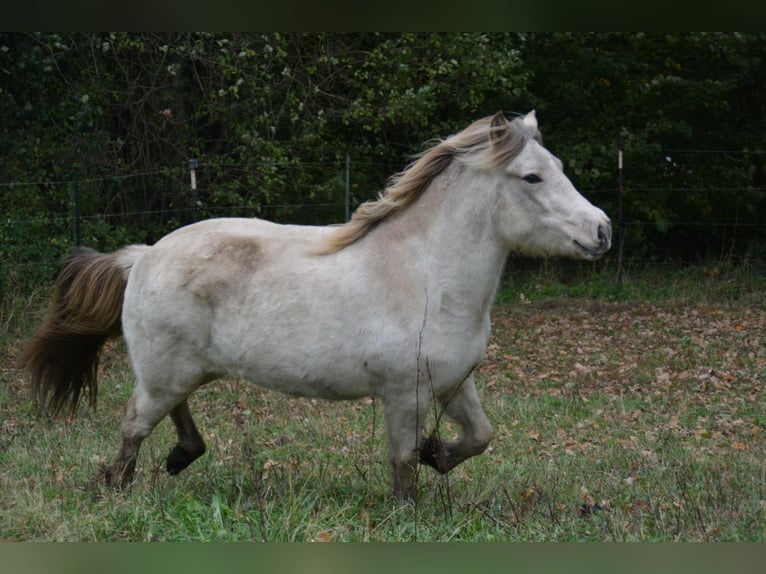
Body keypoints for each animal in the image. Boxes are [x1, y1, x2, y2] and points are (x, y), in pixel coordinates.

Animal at [19, 111, 611, 499]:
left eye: (558, 165)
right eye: (532, 176)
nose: (602, 231)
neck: (426, 276)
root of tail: (143, 256)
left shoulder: (452, 382)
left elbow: (479, 437)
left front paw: (438, 456)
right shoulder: (406, 393)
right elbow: (401, 461)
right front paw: (409, 509)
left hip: (181, 370)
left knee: (168, 413)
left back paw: (181, 455)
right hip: (165, 372)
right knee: (134, 427)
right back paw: (116, 486)